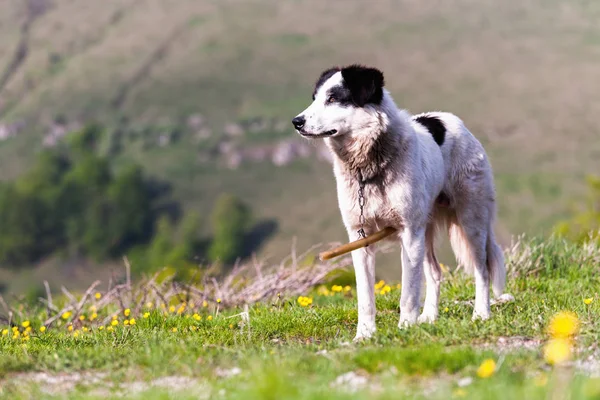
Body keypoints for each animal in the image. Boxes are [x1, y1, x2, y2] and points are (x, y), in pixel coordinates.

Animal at [290, 65, 506, 340]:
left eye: (333, 98)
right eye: (315, 98)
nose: (296, 122)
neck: (369, 165)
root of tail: (454, 120)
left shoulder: (409, 234)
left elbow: (408, 293)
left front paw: (405, 328)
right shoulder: (360, 238)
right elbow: (365, 298)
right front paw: (364, 335)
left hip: (471, 221)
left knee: (482, 269)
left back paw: (481, 313)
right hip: (426, 229)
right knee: (435, 273)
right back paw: (429, 317)